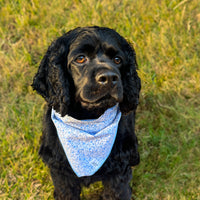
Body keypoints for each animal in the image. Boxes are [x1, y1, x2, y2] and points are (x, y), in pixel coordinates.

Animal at [32, 26, 141, 200]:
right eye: (80, 59)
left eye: (118, 59)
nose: (109, 77)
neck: (88, 122)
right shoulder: (61, 173)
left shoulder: (118, 173)